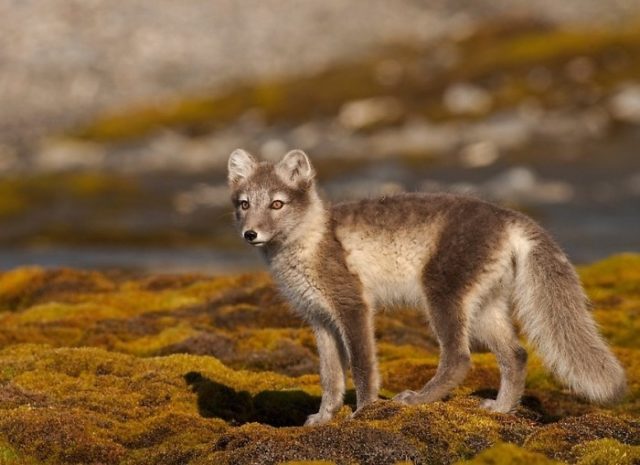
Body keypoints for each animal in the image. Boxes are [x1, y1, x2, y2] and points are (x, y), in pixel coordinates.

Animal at [226, 149, 624, 424]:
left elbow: (362, 367)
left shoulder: (353, 306)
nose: (250, 234)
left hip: (441, 296)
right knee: (517, 354)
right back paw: (501, 409)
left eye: (277, 204)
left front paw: (364, 414)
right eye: (244, 204)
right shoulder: (320, 319)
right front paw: (324, 418)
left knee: (460, 358)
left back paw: (418, 400)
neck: (308, 241)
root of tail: (508, 216)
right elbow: (330, 377)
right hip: (483, 308)